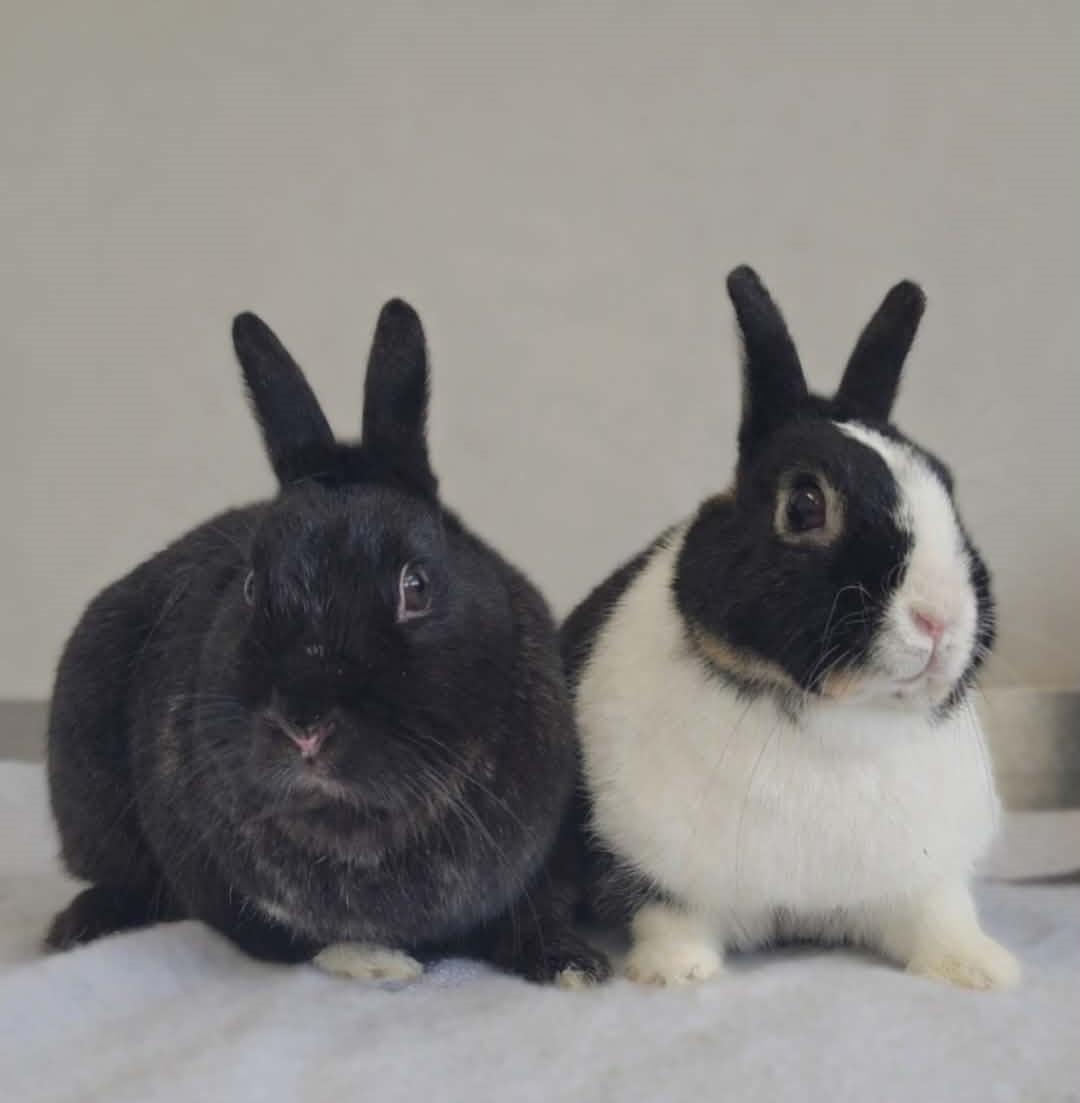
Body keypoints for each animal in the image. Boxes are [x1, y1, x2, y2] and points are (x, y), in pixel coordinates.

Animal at [45, 299, 609, 987]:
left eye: (415, 586)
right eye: (252, 586)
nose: (304, 725)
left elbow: (535, 914)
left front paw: (572, 966)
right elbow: (295, 941)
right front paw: (378, 963)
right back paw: (77, 928)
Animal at [562, 266, 1019, 991]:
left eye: (947, 487)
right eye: (804, 504)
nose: (939, 617)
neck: (839, 717)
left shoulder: (920, 882)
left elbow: (941, 915)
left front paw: (982, 968)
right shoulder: (657, 872)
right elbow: (669, 915)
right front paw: (676, 973)